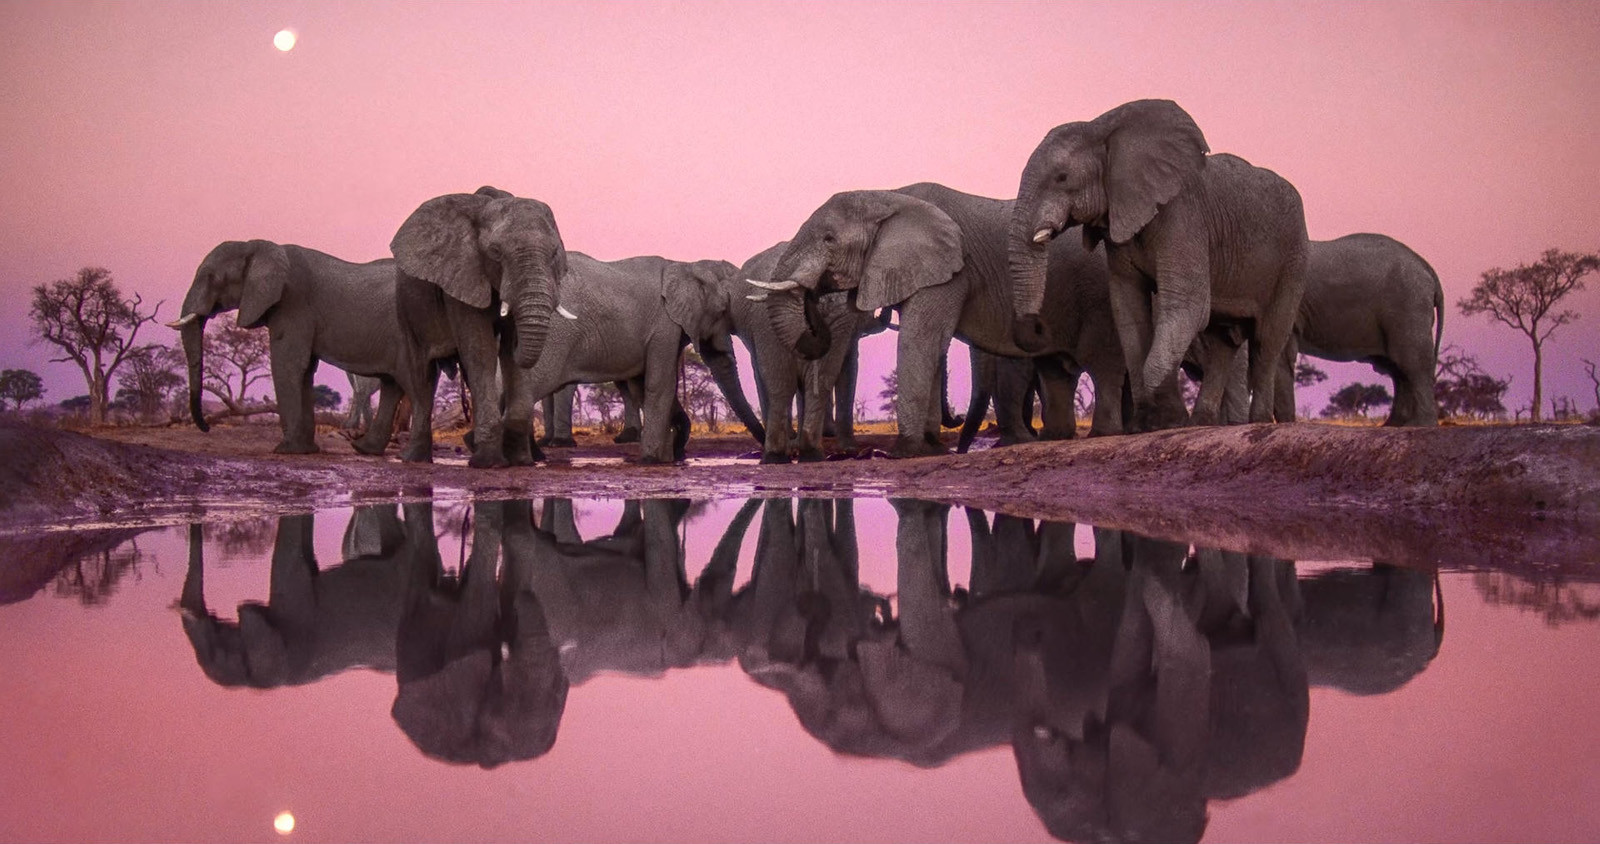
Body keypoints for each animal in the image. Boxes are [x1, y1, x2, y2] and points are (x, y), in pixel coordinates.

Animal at [390, 183, 572, 466]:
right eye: (495, 253)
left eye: (554, 253)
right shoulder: (461, 277)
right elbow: (481, 350)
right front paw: (490, 463)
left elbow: (507, 356)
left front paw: (520, 461)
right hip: (406, 307)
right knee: (423, 375)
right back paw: (415, 459)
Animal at [1011, 97, 1312, 428]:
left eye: (1062, 177)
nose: (1037, 325)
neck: (1102, 129)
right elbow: (1129, 311)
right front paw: (1149, 423)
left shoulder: (1183, 217)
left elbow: (1185, 305)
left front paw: (1168, 419)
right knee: (1222, 343)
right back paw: (1202, 422)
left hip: (1293, 259)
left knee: (1267, 341)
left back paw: (1256, 421)